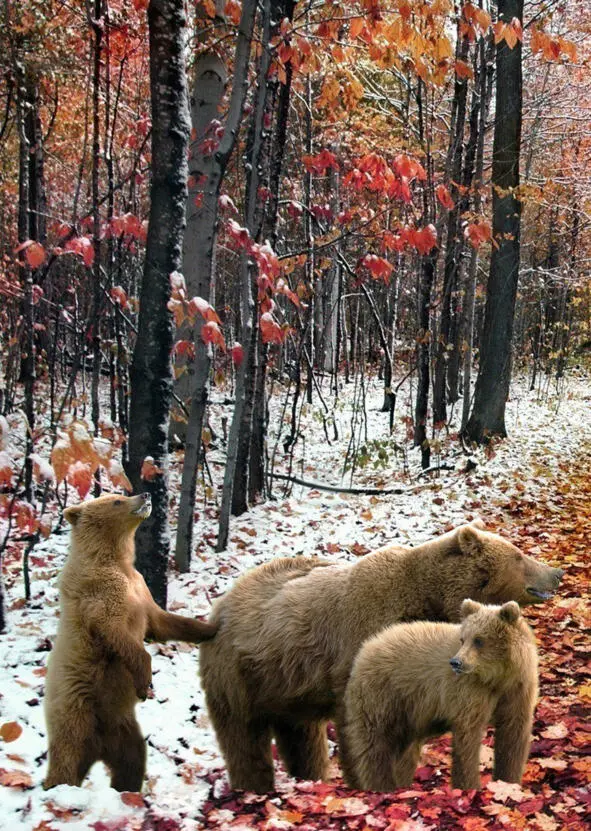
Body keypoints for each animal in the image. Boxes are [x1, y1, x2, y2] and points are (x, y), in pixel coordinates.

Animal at [45, 494, 217, 792]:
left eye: (121, 494)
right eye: (116, 500)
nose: (144, 495)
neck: (115, 560)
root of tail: (97, 748)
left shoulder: (140, 590)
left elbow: (163, 622)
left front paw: (211, 627)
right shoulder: (101, 596)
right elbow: (118, 633)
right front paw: (143, 682)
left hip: (120, 727)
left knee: (132, 758)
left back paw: (127, 788)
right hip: (77, 710)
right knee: (67, 755)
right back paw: (58, 787)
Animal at [200, 520, 564, 792]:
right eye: (518, 555)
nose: (555, 573)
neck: (427, 598)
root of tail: (218, 608)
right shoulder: (361, 647)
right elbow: (359, 727)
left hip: (285, 687)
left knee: (301, 737)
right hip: (238, 676)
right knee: (243, 736)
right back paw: (253, 786)